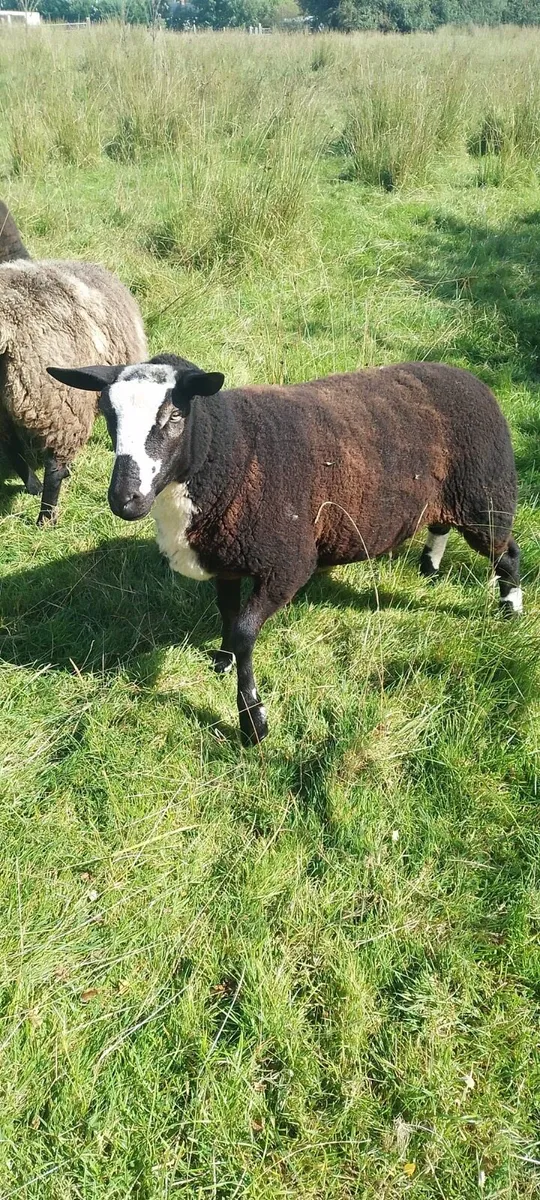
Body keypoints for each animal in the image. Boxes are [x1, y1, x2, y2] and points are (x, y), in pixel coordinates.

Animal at [47, 355, 522, 745]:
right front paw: (221, 662)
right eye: (109, 415)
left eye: (176, 414)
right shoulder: (227, 559)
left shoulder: (287, 564)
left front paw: (253, 722)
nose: (124, 500)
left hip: (485, 494)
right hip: (448, 496)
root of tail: (468, 376)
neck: (234, 451)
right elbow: (227, 614)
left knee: (508, 552)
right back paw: (430, 567)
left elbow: (245, 631)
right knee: (441, 524)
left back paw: (511, 607)